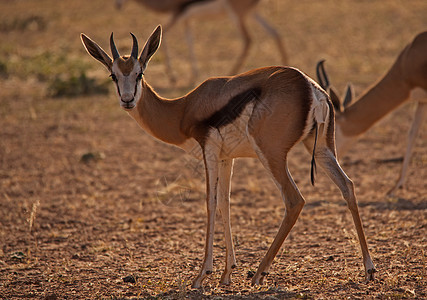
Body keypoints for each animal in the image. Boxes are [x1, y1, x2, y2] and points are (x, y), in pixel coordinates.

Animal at [80, 25, 374, 286]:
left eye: (139, 73)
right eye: (114, 76)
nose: (128, 100)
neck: (183, 109)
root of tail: (310, 88)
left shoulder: (209, 151)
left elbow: (210, 203)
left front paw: (202, 276)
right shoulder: (227, 158)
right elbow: (225, 203)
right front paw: (227, 273)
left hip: (272, 155)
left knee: (294, 200)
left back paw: (259, 274)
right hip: (322, 149)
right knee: (347, 186)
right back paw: (369, 269)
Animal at [114, 0, 288, 83]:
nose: (118, 5)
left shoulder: (177, 15)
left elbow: (167, 36)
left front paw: (172, 76)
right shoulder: (186, 20)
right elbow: (189, 40)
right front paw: (193, 74)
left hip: (237, 15)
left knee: (248, 40)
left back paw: (232, 71)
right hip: (251, 14)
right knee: (276, 33)